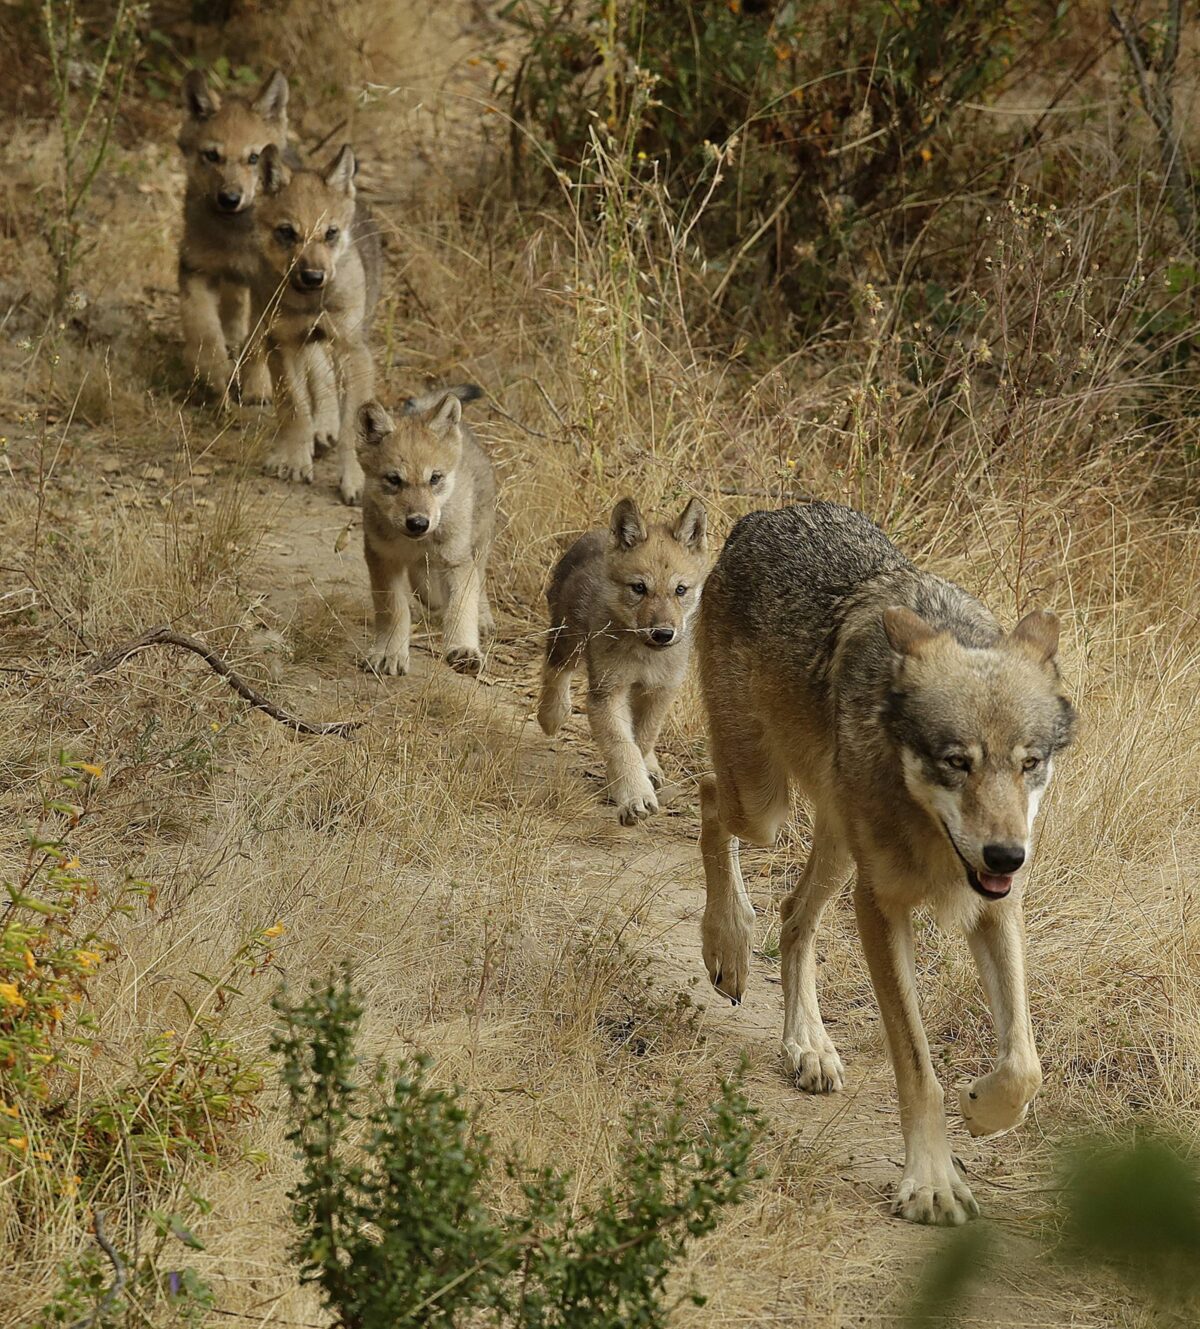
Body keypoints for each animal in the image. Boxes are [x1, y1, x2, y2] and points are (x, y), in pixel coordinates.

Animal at [251, 142, 382, 505]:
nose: (313, 277)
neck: (310, 303)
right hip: (292, 337)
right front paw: (295, 460)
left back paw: (325, 431)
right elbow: (294, 407)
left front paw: (354, 480)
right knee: (317, 376)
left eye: (331, 233)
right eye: (287, 232)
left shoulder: (354, 351)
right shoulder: (282, 343)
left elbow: (352, 427)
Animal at [357, 385, 495, 677]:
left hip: (478, 544)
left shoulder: (457, 561)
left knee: (480, 580)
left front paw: (464, 649)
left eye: (435, 478)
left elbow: (461, 607)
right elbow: (394, 610)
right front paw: (390, 653)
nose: (419, 523)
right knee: (429, 590)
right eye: (393, 480)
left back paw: (484, 618)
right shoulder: (382, 559)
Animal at [539, 497, 708, 826]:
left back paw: (652, 769)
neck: (645, 657)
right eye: (639, 588)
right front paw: (634, 796)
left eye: (680, 590)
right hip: (568, 639)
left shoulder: (660, 691)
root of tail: (595, 533)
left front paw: (630, 783)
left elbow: (642, 739)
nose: (663, 634)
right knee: (555, 670)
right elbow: (622, 746)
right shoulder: (607, 692)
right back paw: (551, 715)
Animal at [696, 500, 1075, 1225]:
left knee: (792, 915)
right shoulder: (881, 907)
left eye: (1029, 762)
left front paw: (983, 1111)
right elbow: (919, 1066)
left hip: (835, 845)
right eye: (956, 761)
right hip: (766, 806)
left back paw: (807, 1046)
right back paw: (726, 943)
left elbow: (1025, 1064)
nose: (1007, 853)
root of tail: (766, 513)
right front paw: (931, 1182)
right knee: (707, 800)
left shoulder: (996, 906)